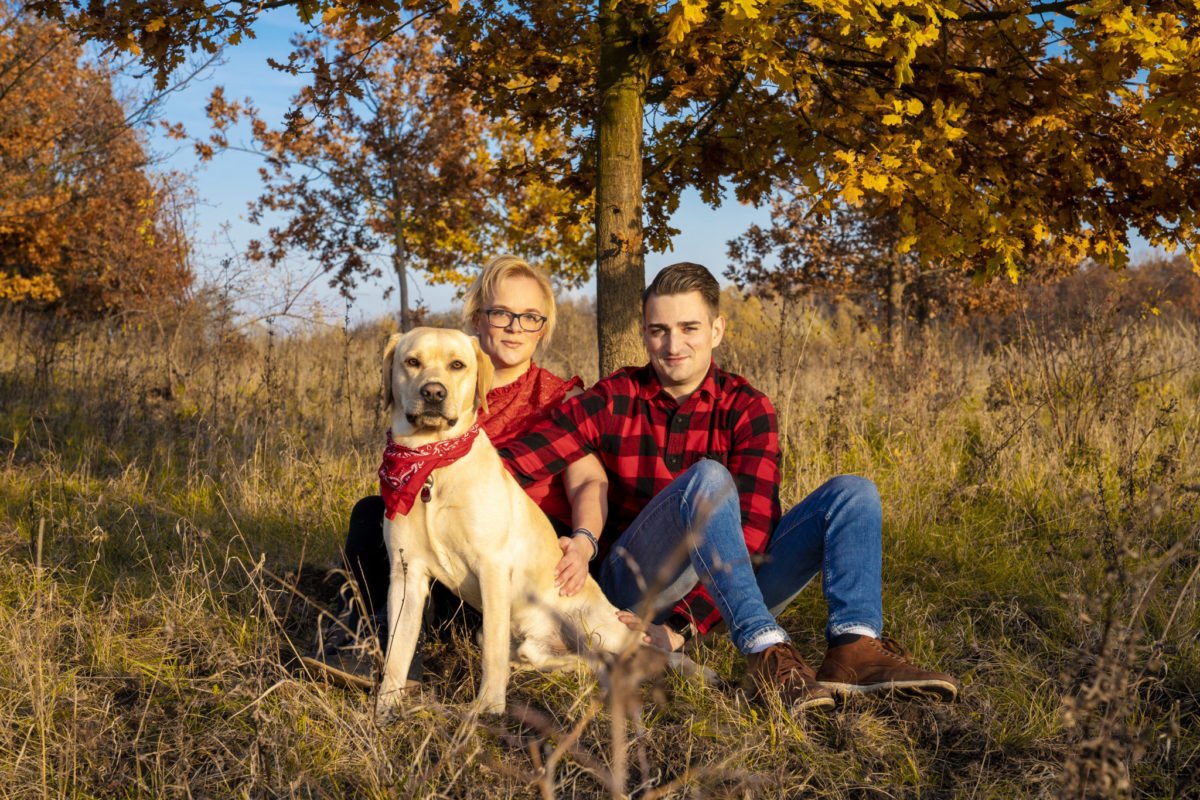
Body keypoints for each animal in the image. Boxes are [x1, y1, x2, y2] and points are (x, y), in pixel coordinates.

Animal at [376, 326, 643, 714]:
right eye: (412, 362)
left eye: (457, 365)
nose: (434, 392)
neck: (434, 464)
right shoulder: (406, 573)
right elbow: (398, 648)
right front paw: (385, 704)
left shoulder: (492, 566)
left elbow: (493, 650)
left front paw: (488, 706)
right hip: (535, 647)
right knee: (569, 663)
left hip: (598, 626)